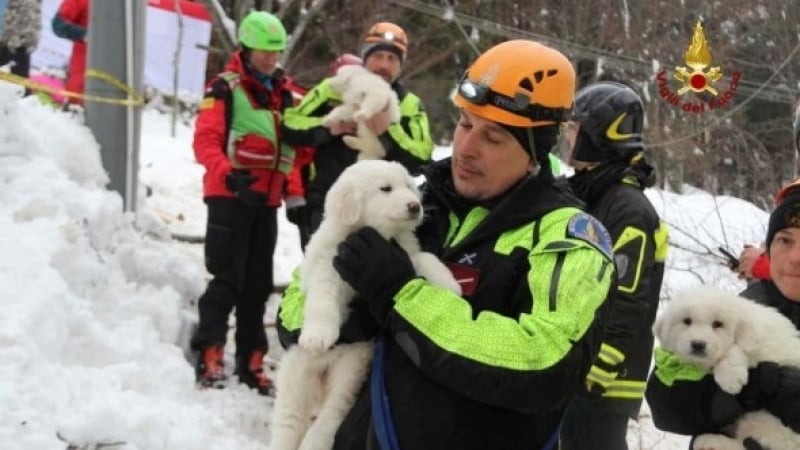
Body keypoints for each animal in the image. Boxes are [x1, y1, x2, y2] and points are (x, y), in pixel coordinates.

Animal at [268, 159, 460, 450]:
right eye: (385, 189)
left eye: (408, 186)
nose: (415, 206)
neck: (378, 235)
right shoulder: (328, 267)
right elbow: (322, 300)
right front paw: (317, 336)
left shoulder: (403, 254)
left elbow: (425, 259)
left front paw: (451, 285)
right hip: (296, 376)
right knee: (288, 423)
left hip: (352, 368)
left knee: (333, 412)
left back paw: (316, 440)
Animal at [652, 284, 800, 450]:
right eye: (687, 321)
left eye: (718, 324)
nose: (698, 344)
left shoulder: (762, 347)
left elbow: (735, 349)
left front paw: (730, 378)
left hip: (766, 424)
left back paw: (710, 441)